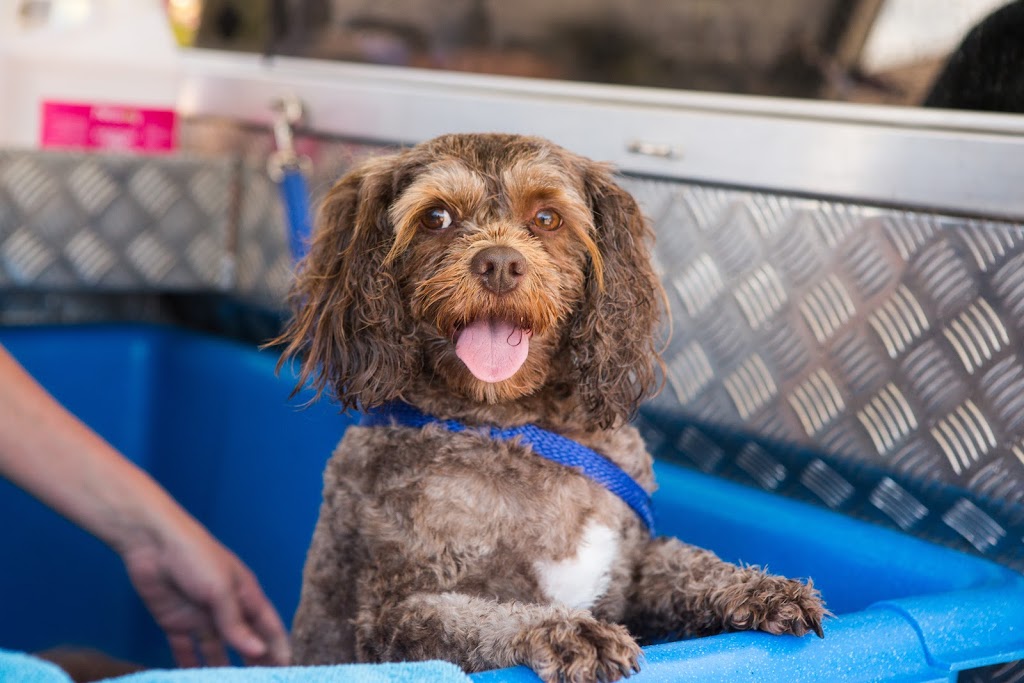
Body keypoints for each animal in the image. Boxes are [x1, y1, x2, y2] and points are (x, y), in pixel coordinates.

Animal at [276, 131, 827, 679]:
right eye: (435, 217)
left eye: (546, 218)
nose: (499, 263)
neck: (512, 425)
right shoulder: (393, 610)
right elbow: (478, 618)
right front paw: (567, 630)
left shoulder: (631, 564)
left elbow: (685, 562)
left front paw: (759, 586)